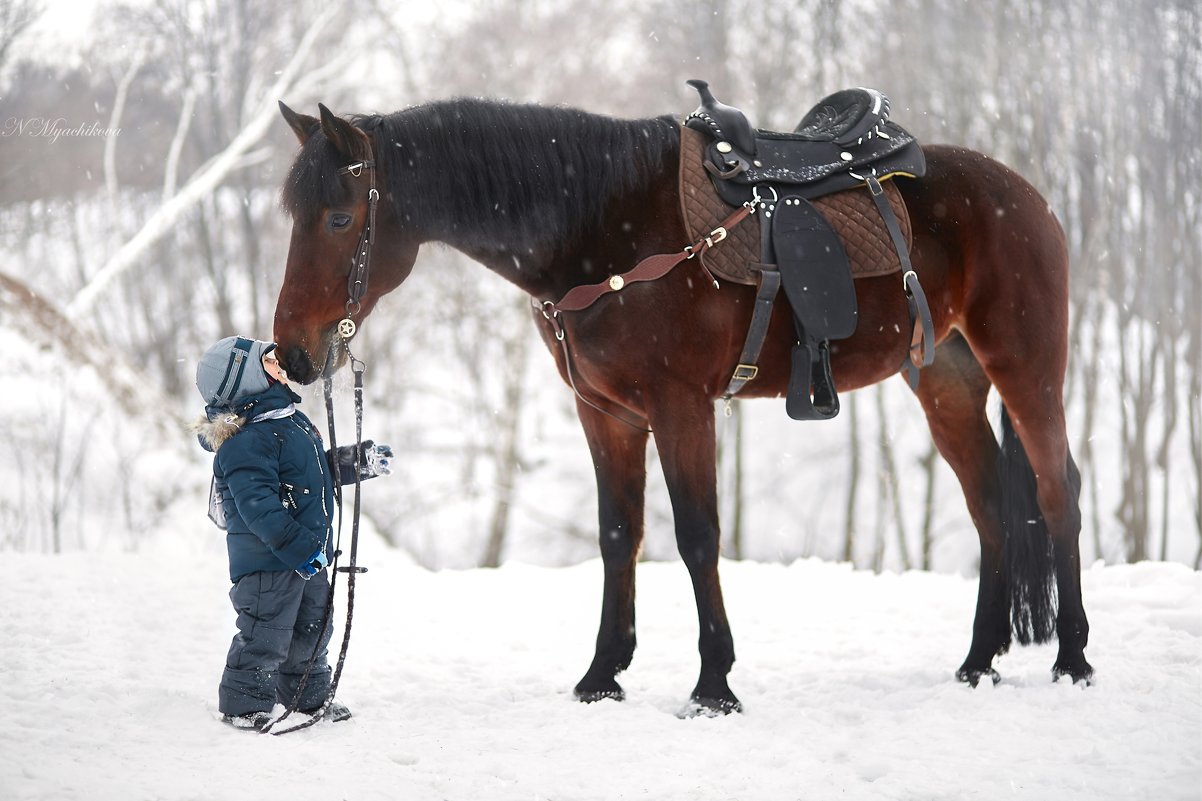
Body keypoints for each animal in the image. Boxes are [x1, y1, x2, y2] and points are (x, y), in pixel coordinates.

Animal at [270, 90, 1091, 707]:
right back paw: (978, 661)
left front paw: (714, 683)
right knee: (991, 507)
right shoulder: (605, 416)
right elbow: (618, 535)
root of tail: (1029, 195)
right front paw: (602, 675)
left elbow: (697, 534)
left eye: (340, 217)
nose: (294, 352)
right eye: (292, 216)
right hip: (946, 381)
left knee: (1057, 490)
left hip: (1027, 366)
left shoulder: (681, 408)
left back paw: (1074, 658)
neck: (603, 227)